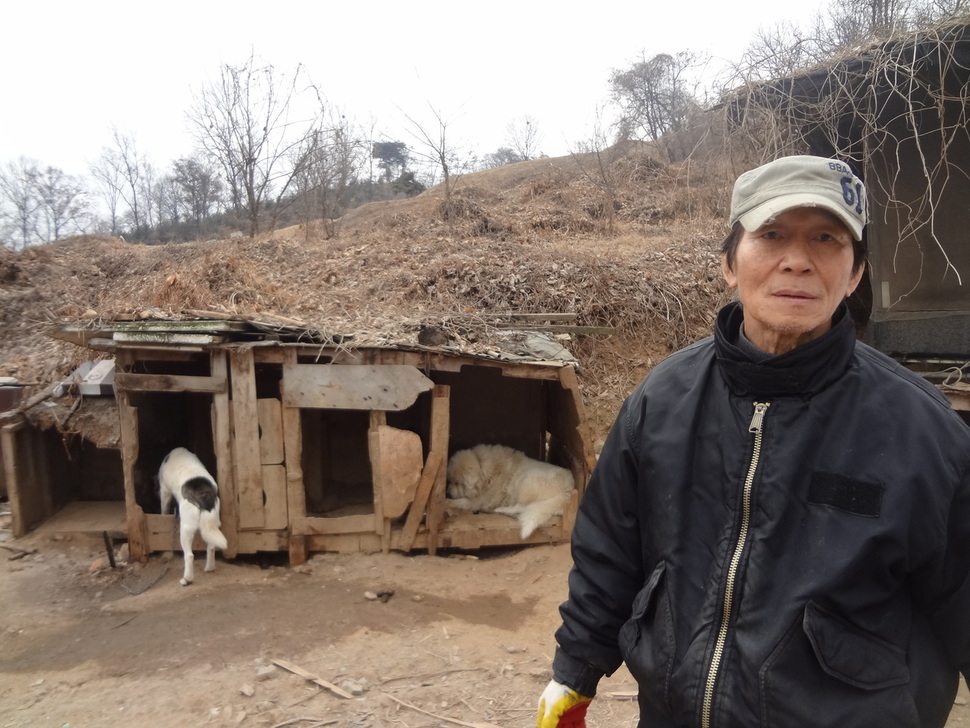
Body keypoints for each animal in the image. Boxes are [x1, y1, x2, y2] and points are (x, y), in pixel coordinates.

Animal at [159, 446, 229, 588]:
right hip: (212, 524)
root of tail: (204, 496)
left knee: (189, 555)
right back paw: (209, 568)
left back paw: (186, 579)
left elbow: (163, 509)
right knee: (211, 547)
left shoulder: (164, 491)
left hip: (185, 530)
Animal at [448, 440, 576, 536]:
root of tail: (569, 489)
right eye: (450, 480)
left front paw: (448, 502)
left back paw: (500, 509)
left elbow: (461, 501)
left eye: (457, 483)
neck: (483, 469)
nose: (448, 493)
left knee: (520, 507)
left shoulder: (480, 500)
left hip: (525, 481)